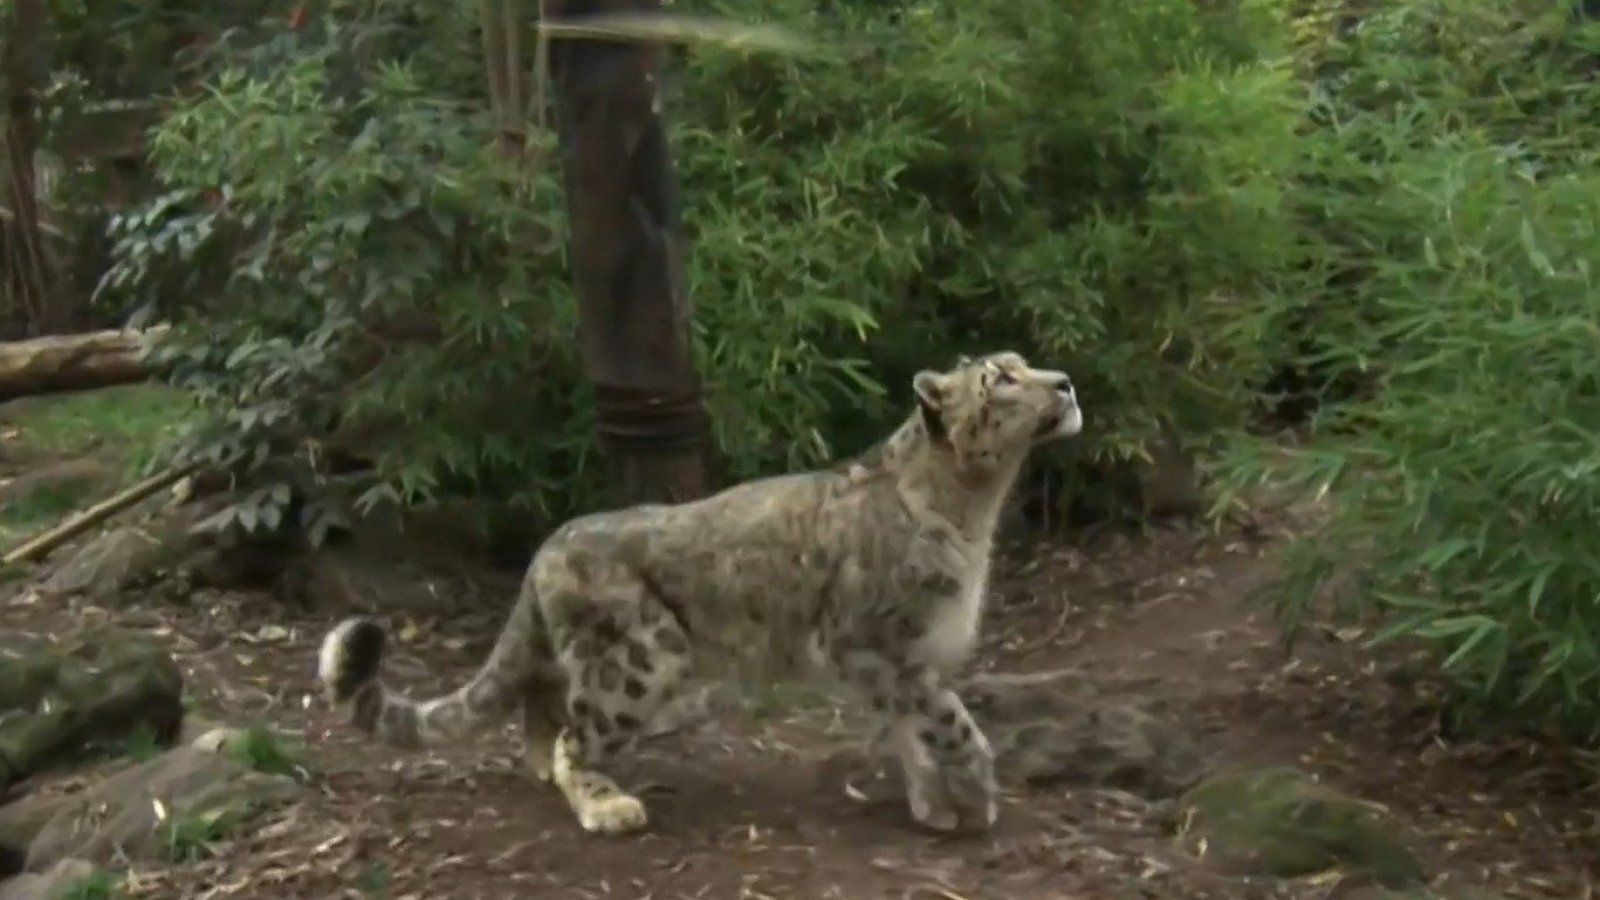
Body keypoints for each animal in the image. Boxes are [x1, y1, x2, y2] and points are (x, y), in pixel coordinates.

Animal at [316, 350, 1082, 836]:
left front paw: (937, 807)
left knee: (540, 703)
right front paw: (977, 794)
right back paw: (606, 807)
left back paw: (543, 771)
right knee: (573, 734)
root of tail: (546, 549)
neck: (975, 511)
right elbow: (948, 718)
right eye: (1001, 378)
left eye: (1022, 363)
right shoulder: (874, 647)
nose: (1068, 384)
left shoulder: (896, 661)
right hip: (643, 656)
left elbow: (913, 728)